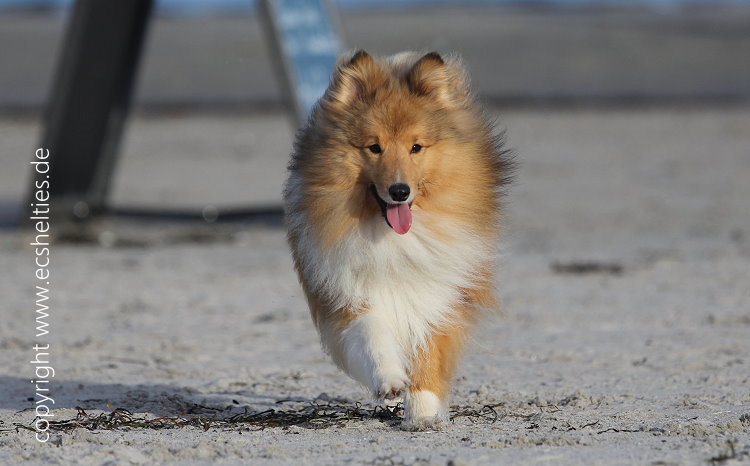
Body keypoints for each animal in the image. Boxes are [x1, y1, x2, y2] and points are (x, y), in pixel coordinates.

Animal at [283, 50, 513, 430]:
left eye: (416, 147)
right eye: (374, 147)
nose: (399, 191)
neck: (393, 240)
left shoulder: (437, 296)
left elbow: (428, 353)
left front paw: (422, 412)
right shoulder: (348, 291)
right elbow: (372, 334)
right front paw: (390, 381)